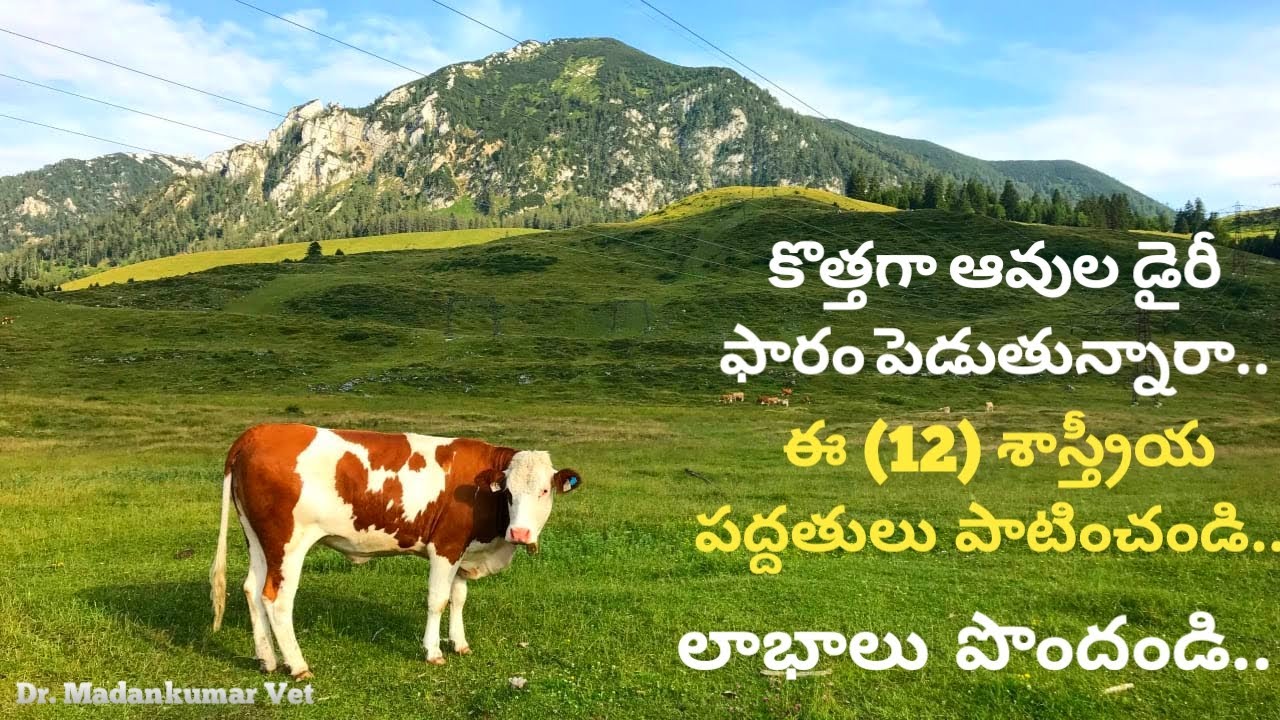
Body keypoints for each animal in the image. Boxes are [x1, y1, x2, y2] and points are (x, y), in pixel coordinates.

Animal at [209, 423, 581, 679]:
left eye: (544, 491)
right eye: (508, 492)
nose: (520, 532)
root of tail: (258, 432)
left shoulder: (464, 551)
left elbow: (458, 598)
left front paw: (459, 643)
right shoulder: (445, 546)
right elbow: (438, 600)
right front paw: (433, 651)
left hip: (259, 539)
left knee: (252, 590)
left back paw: (267, 659)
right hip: (288, 543)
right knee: (276, 600)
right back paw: (297, 665)